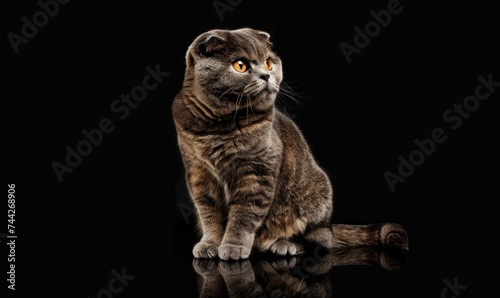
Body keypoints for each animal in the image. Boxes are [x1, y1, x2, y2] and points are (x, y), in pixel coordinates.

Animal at [174, 28, 408, 260]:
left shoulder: (257, 173)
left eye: (268, 63)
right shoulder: (200, 174)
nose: (266, 75)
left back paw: (283, 245)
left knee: (317, 241)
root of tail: (330, 226)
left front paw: (233, 246)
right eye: (240, 65)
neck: (216, 128)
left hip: (316, 201)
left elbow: (243, 216)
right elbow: (210, 216)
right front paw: (210, 244)